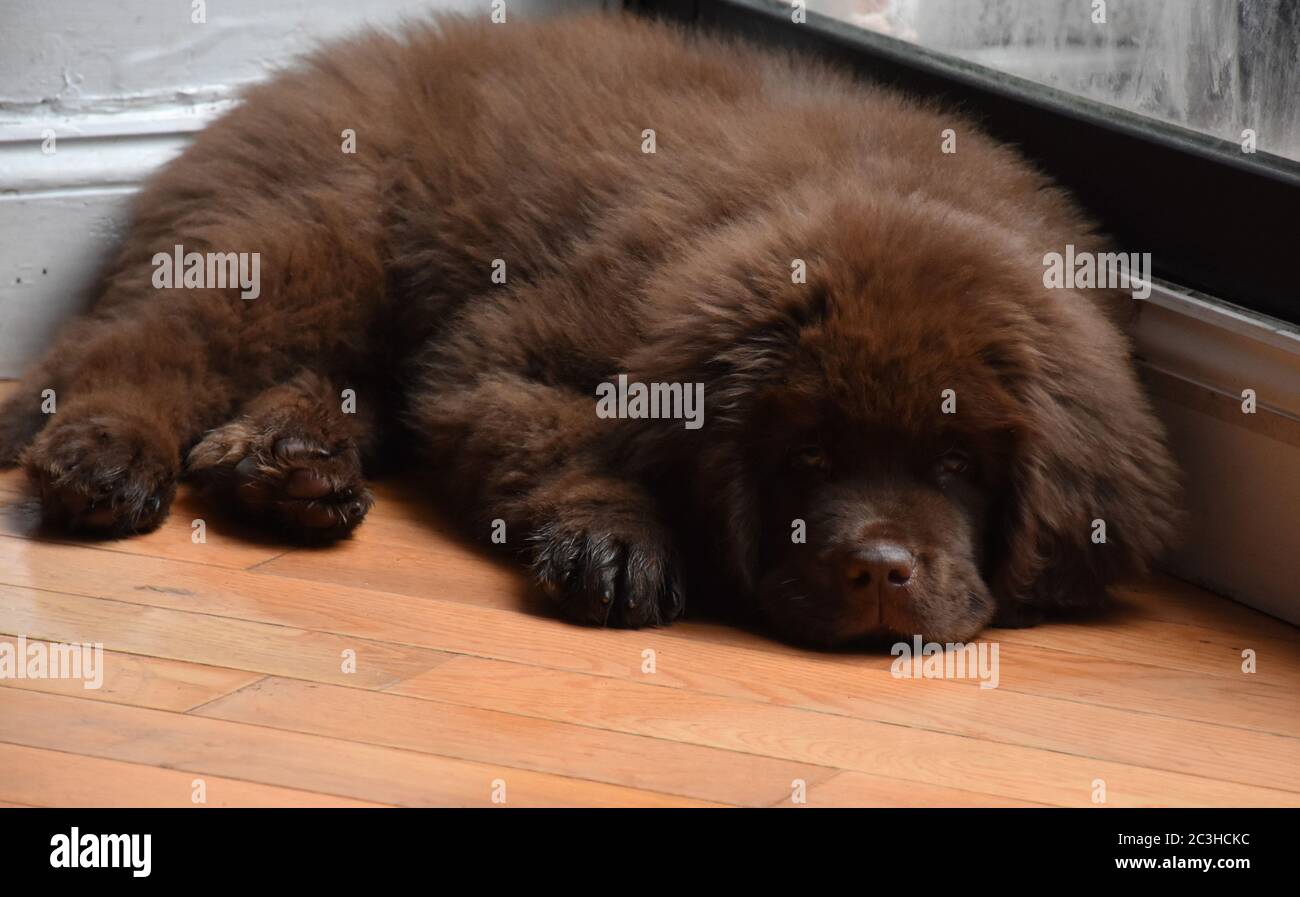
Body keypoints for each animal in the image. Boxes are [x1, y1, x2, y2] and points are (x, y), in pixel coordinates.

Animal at [0, 12, 1180, 642]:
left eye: (958, 464)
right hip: (313, 244)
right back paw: (107, 457)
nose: (880, 572)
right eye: (805, 456)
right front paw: (617, 541)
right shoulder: (502, 360)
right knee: (144, 349)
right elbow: (576, 442)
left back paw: (288, 461)